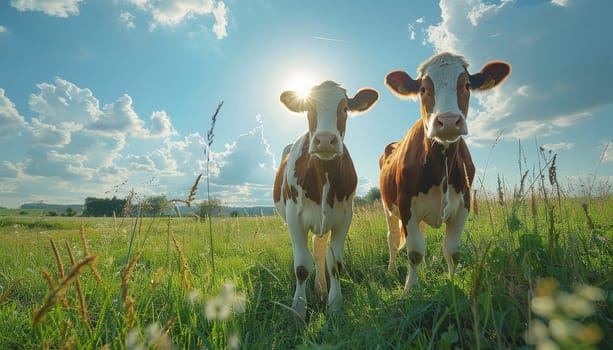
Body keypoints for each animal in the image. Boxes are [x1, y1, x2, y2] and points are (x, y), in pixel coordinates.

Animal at [272, 80, 378, 318]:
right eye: (308, 108)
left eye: (345, 109)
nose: (326, 141)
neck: (324, 175)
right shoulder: (294, 217)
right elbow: (302, 266)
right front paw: (298, 310)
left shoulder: (345, 217)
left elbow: (335, 264)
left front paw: (335, 305)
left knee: (319, 250)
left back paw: (320, 289)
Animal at [380, 52, 510, 292]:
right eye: (423, 89)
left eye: (466, 85)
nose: (448, 121)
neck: (442, 165)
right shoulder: (406, 205)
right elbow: (414, 252)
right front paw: (410, 290)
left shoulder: (463, 204)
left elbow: (452, 251)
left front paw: (452, 283)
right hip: (388, 208)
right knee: (392, 239)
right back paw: (391, 271)